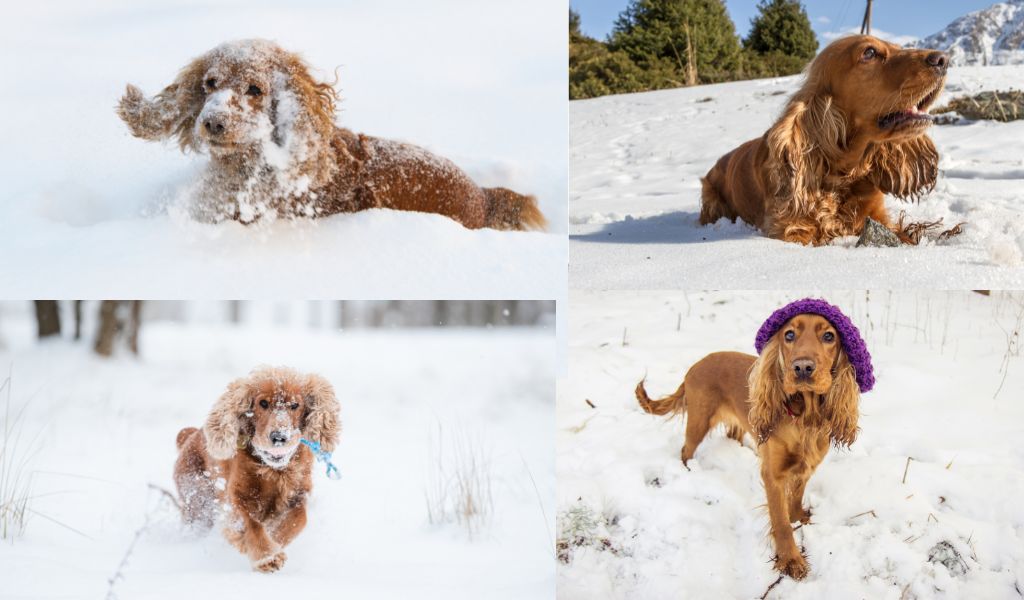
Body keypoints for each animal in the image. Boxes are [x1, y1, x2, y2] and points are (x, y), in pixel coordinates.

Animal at [173, 364, 339, 569]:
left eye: (295, 405)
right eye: (263, 403)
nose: (279, 437)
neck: (274, 469)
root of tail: (190, 436)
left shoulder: (299, 493)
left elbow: (298, 519)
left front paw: (275, 540)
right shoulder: (237, 497)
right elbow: (251, 525)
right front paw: (267, 557)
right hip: (197, 503)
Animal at [700, 34, 946, 242]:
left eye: (898, 47)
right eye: (869, 52)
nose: (943, 59)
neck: (846, 175)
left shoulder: (878, 215)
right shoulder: (790, 227)